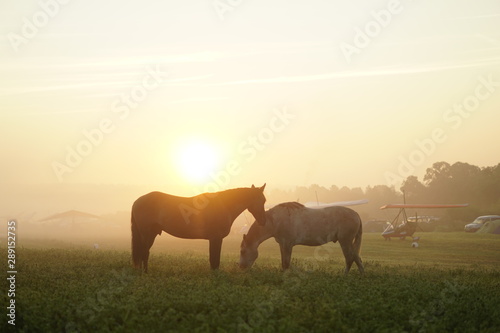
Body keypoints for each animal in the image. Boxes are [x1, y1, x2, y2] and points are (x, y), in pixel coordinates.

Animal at [132, 183, 266, 272]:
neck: (224, 206)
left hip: (151, 234)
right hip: (146, 234)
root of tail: (137, 201)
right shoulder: (216, 239)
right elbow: (214, 260)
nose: (263, 221)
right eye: (263, 200)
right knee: (144, 252)